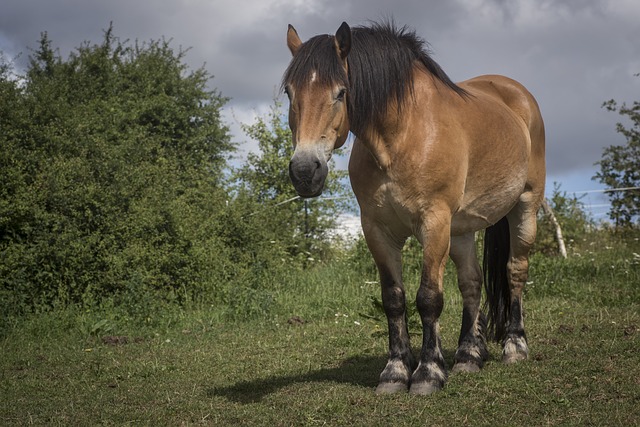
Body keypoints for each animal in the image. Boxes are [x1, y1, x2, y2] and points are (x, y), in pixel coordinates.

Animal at [282, 21, 545, 395]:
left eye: (341, 92)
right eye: (291, 93)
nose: (305, 171)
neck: (402, 137)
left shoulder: (433, 223)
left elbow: (428, 297)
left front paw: (428, 372)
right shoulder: (376, 229)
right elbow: (393, 299)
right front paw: (394, 371)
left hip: (524, 207)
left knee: (515, 271)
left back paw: (515, 346)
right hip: (461, 229)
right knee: (471, 282)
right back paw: (469, 354)